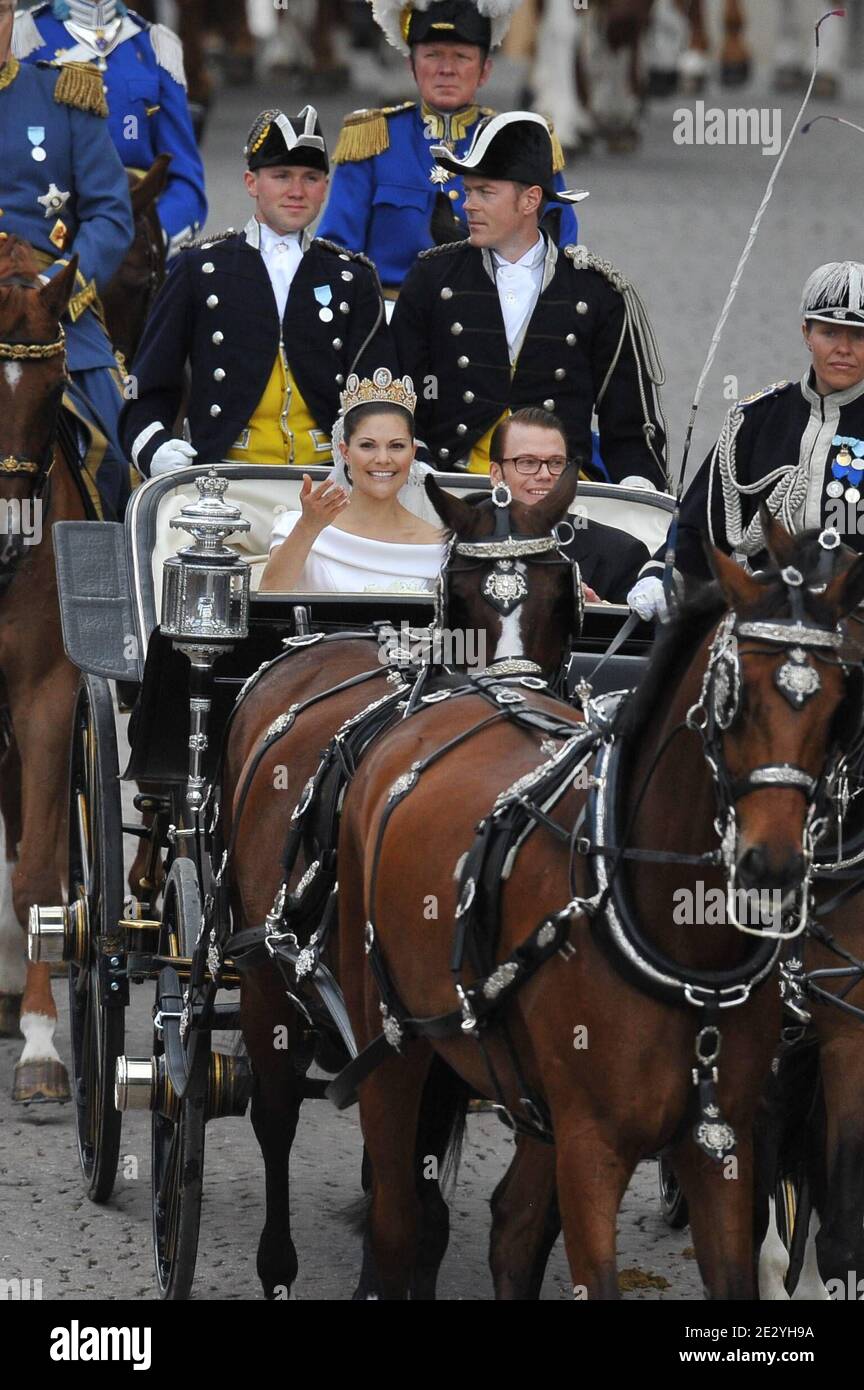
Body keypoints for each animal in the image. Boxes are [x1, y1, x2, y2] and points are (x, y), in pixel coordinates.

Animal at [219, 469, 588, 1301]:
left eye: (563, 597)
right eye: (463, 597)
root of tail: (319, 642)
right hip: (262, 977)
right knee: (275, 1115)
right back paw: (275, 1265)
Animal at [337, 519, 864, 1289]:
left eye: (838, 703)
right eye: (733, 698)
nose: (774, 868)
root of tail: (462, 692)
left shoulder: (722, 1142)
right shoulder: (592, 1148)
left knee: (513, 1228)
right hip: (393, 1047)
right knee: (398, 1217)